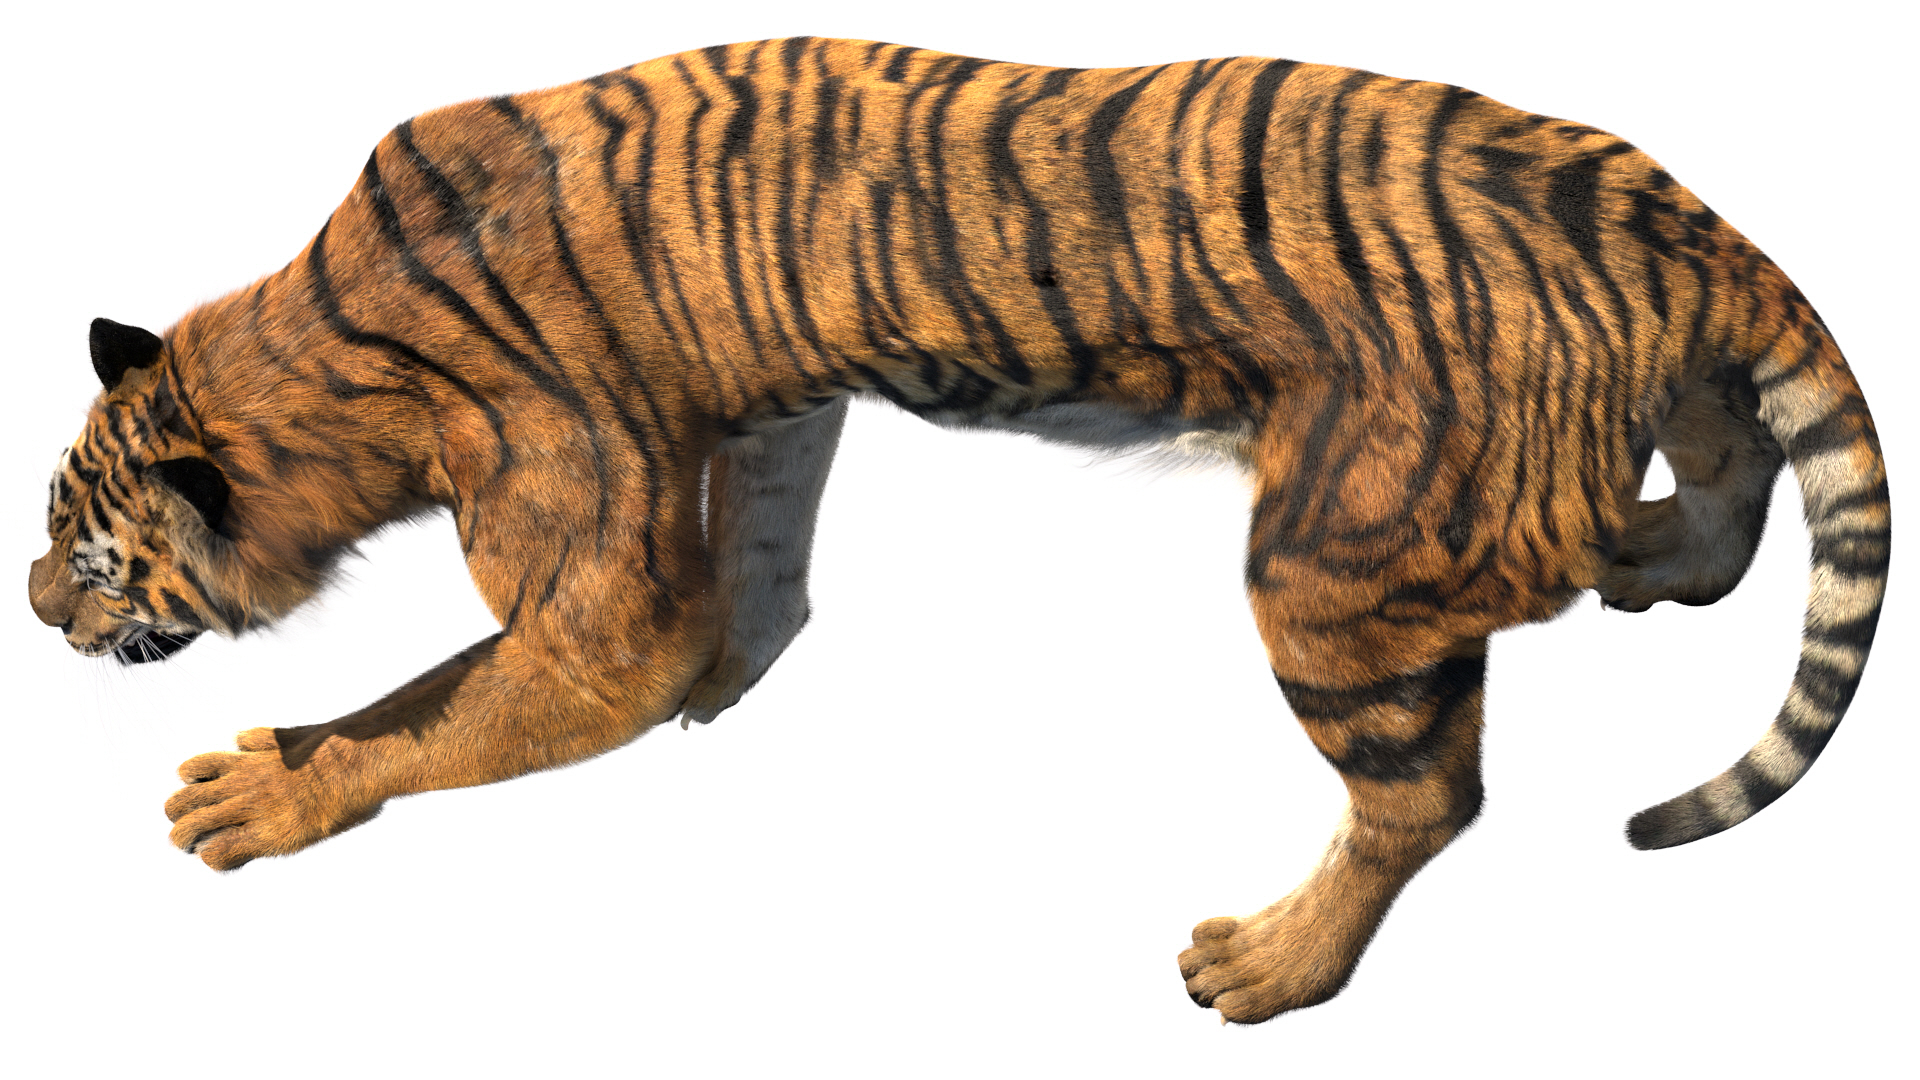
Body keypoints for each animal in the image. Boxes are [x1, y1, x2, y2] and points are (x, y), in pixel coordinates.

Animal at [26, 37, 1888, 1025]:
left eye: (90, 554)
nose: (37, 609)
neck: (321, 346)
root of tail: (1667, 212)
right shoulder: (764, 413)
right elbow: (751, 579)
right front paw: (736, 674)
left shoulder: (582, 574)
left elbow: (428, 714)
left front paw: (263, 788)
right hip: (1630, 407)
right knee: (1723, 466)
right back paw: (1648, 559)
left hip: (1333, 564)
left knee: (1428, 795)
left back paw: (1269, 968)